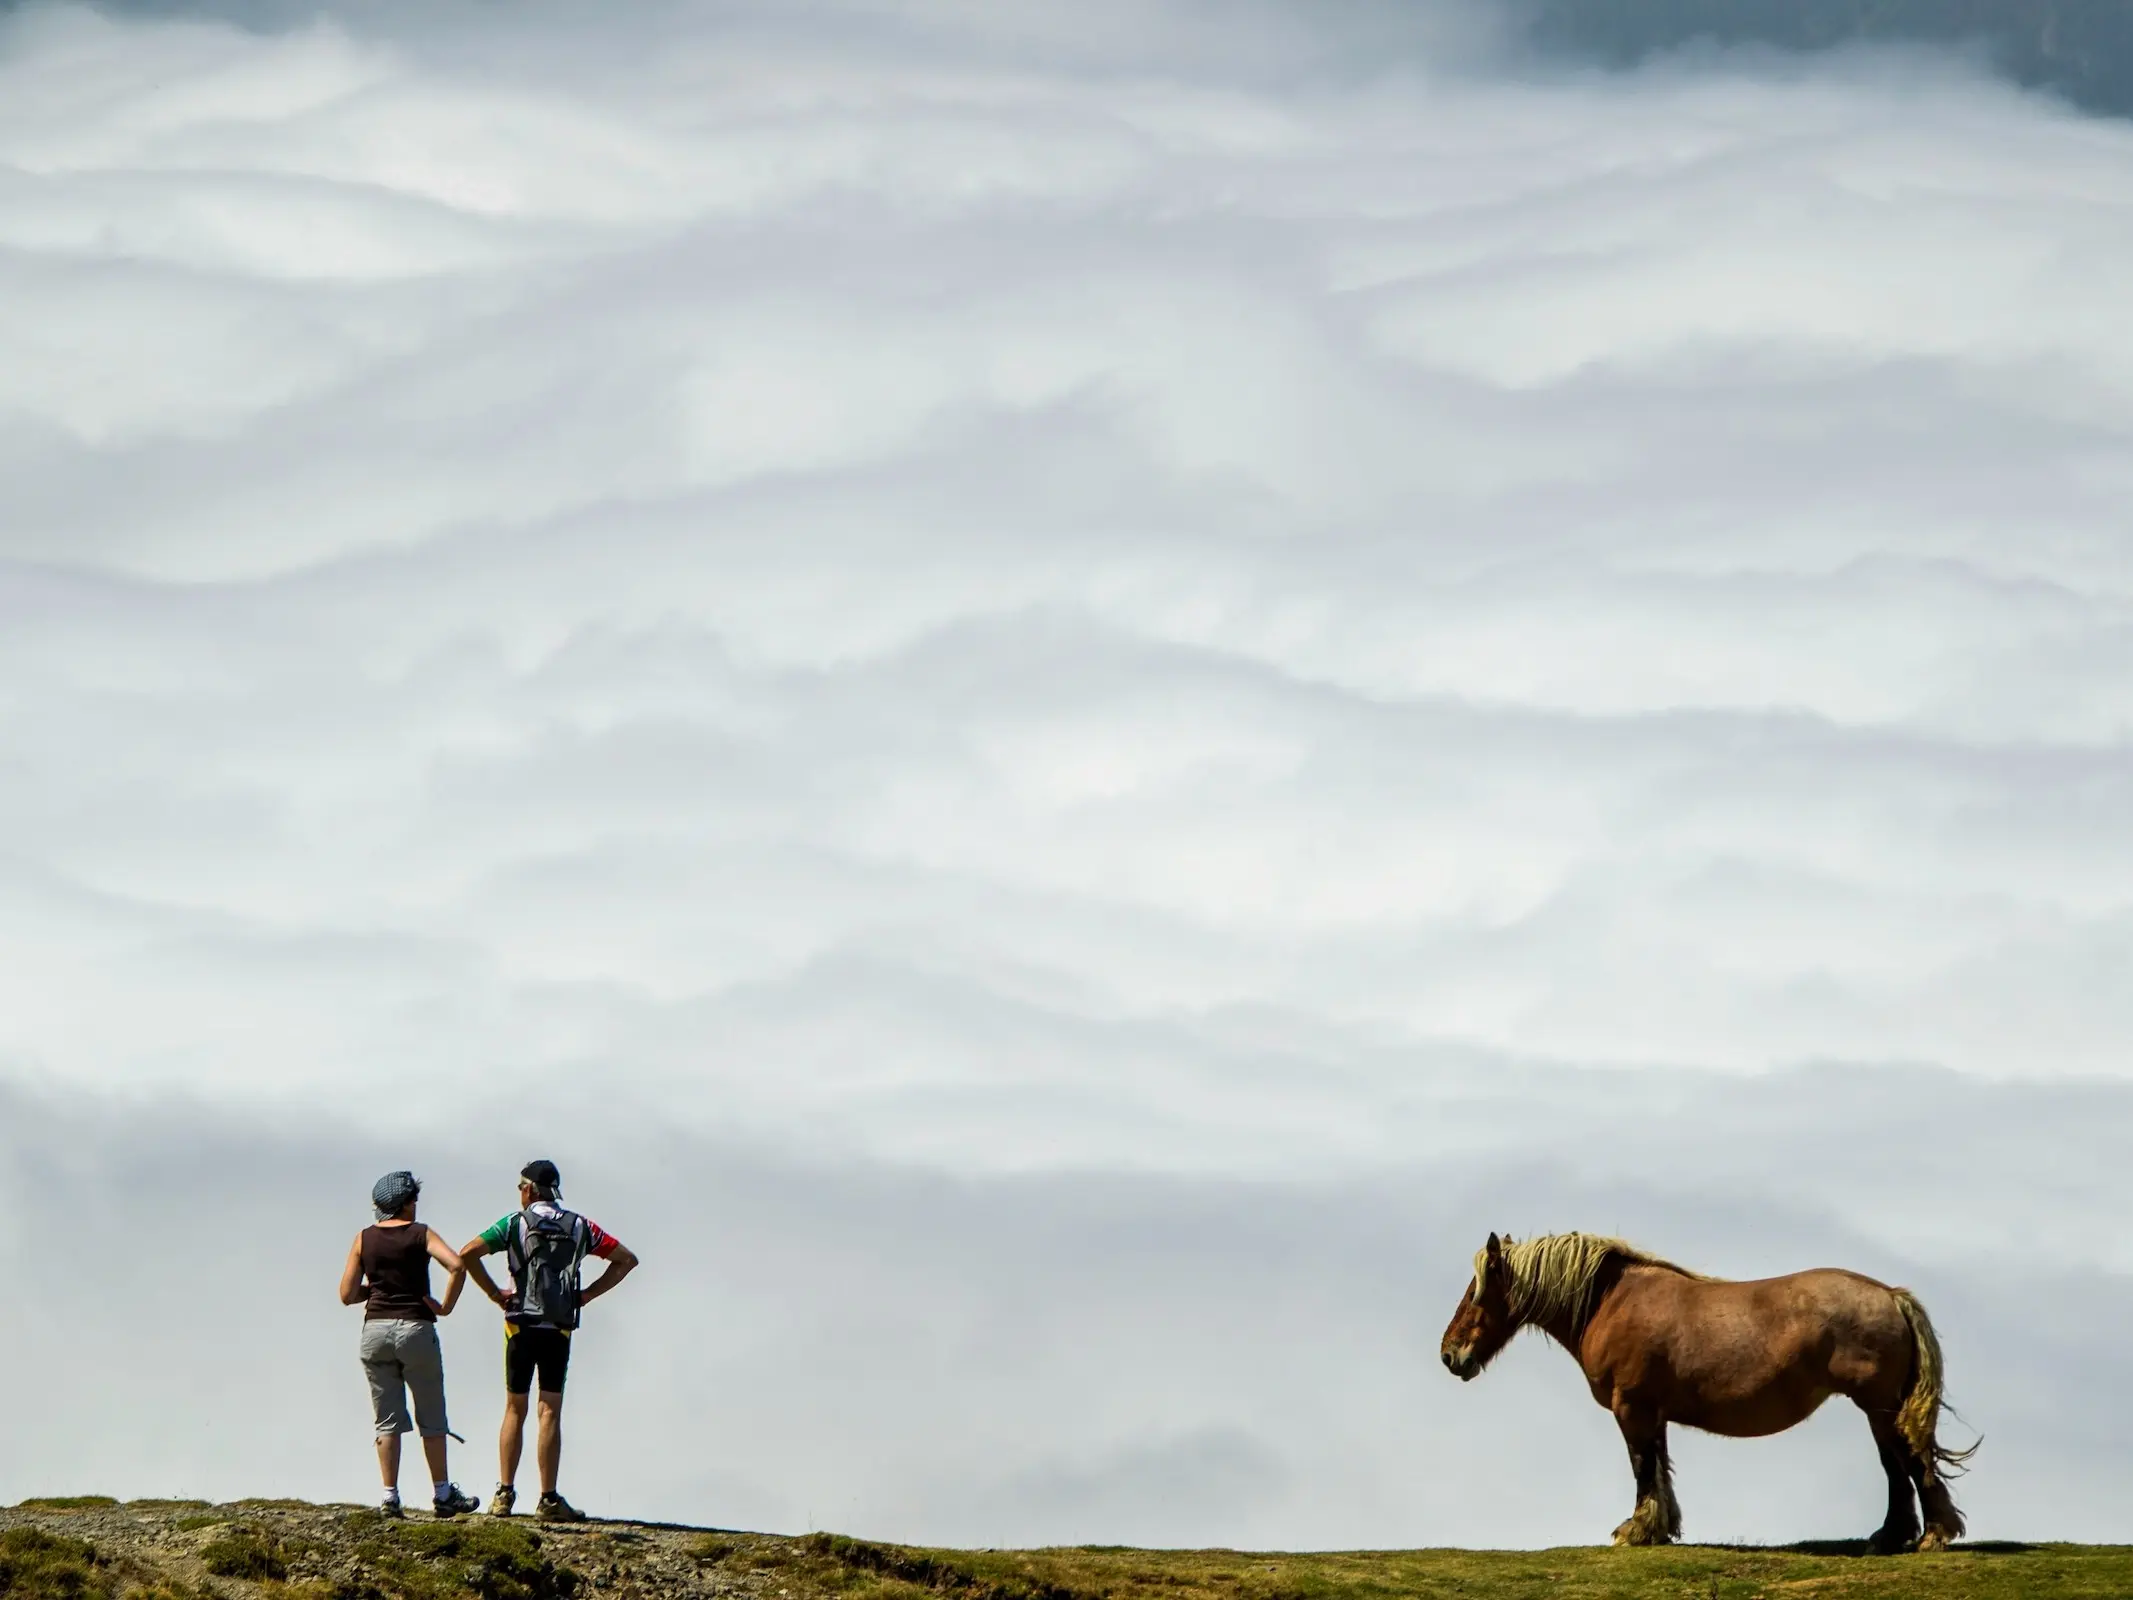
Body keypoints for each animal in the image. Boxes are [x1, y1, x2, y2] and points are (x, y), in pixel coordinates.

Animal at [1441, 1237, 1970, 1561]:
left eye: (1475, 1292)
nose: (1450, 1354)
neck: (1611, 1302)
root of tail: (1890, 1295)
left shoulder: (1631, 1408)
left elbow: (1642, 1468)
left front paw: (1635, 1530)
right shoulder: (1652, 1413)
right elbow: (1660, 1469)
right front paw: (1659, 1528)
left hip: (1879, 1406)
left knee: (1907, 1461)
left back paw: (1930, 1535)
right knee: (1898, 1466)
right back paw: (1896, 1536)